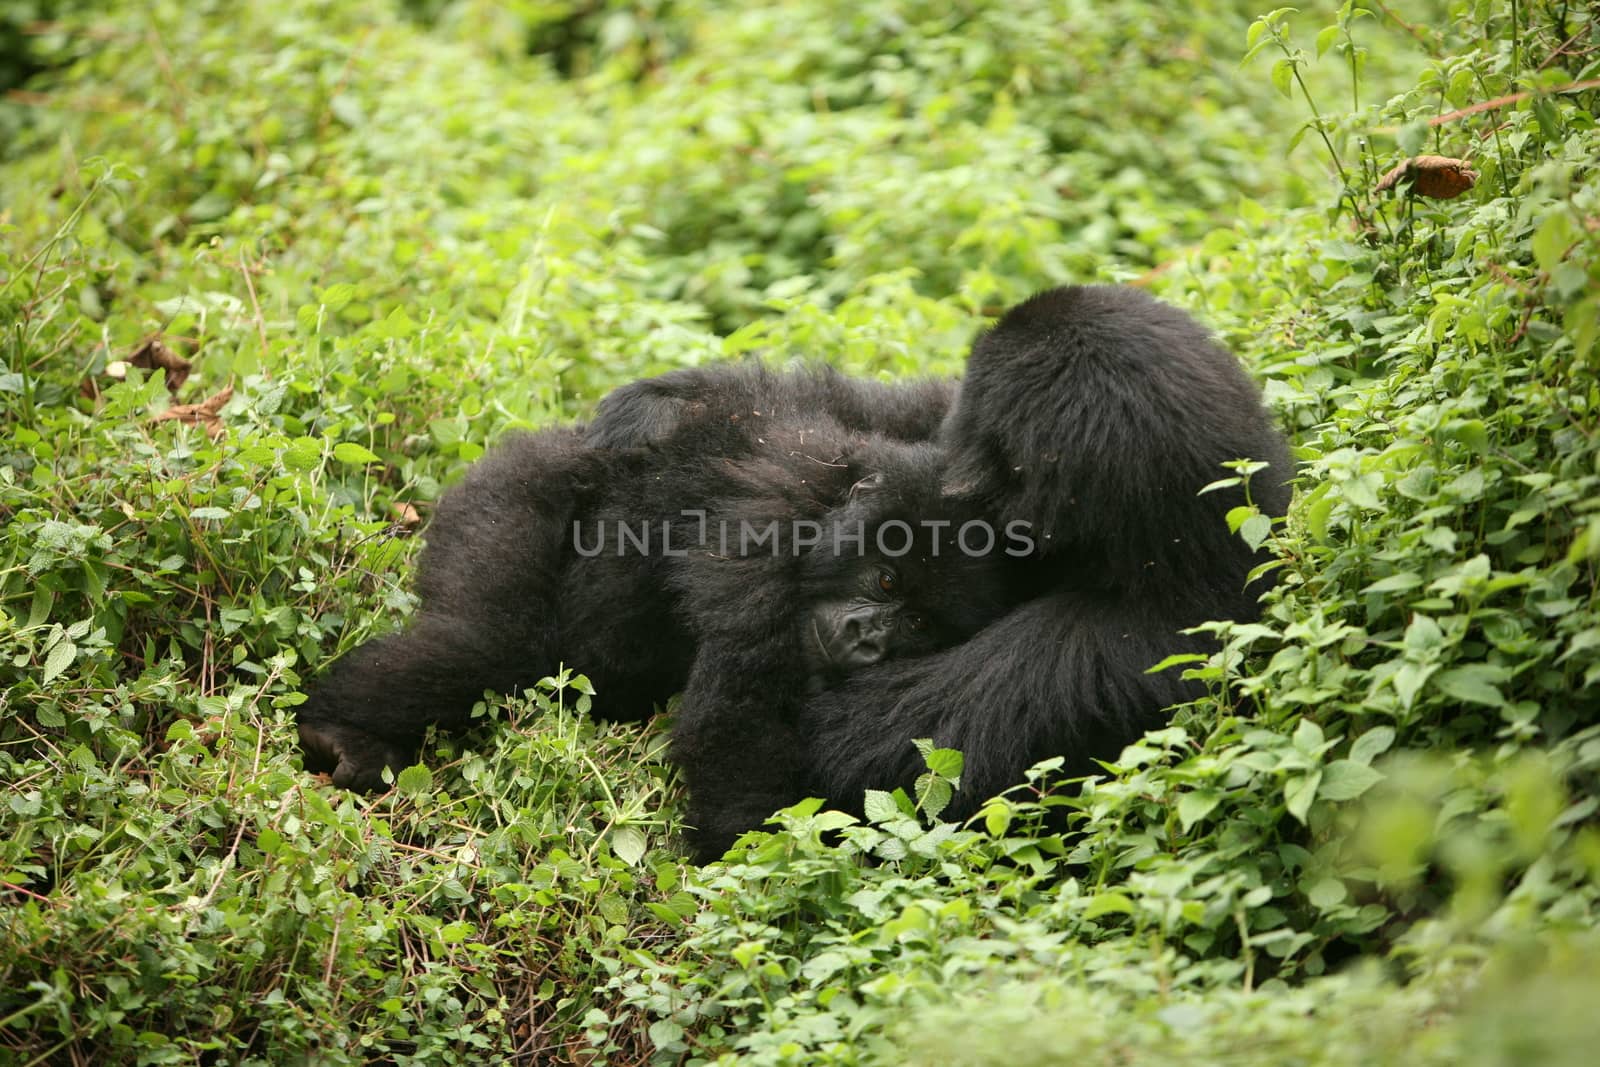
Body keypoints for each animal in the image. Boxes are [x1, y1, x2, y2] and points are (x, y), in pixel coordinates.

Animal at [292, 377, 1004, 799]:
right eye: (885, 579)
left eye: (918, 626)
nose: (865, 639)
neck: (830, 506)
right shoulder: (765, 555)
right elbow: (733, 735)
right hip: (507, 492)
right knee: (485, 648)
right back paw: (340, 730)